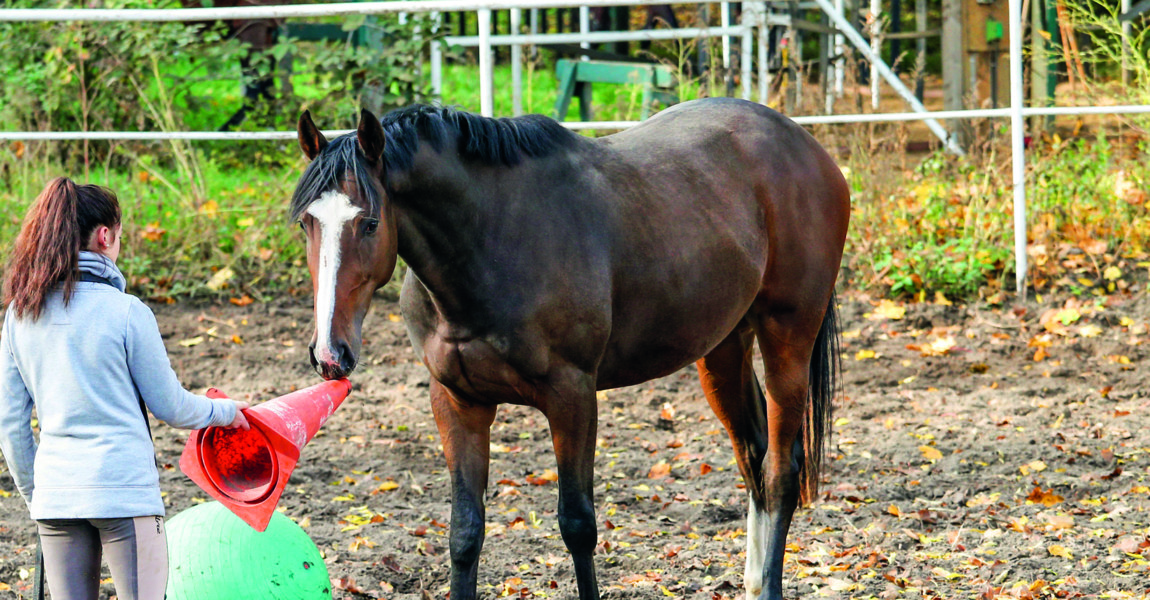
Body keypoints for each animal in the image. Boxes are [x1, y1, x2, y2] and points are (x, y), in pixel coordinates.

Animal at [292, 99, 851, 597]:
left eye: (369, 222)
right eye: (305, 223)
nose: (330, 354)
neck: (493, 240)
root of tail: (805, 146)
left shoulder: (572, 397)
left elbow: (577, 525)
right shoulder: (457, 401)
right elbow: (465, 532)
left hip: (788, 337)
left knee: (780, 472)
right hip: (723, 347)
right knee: (752, 454)